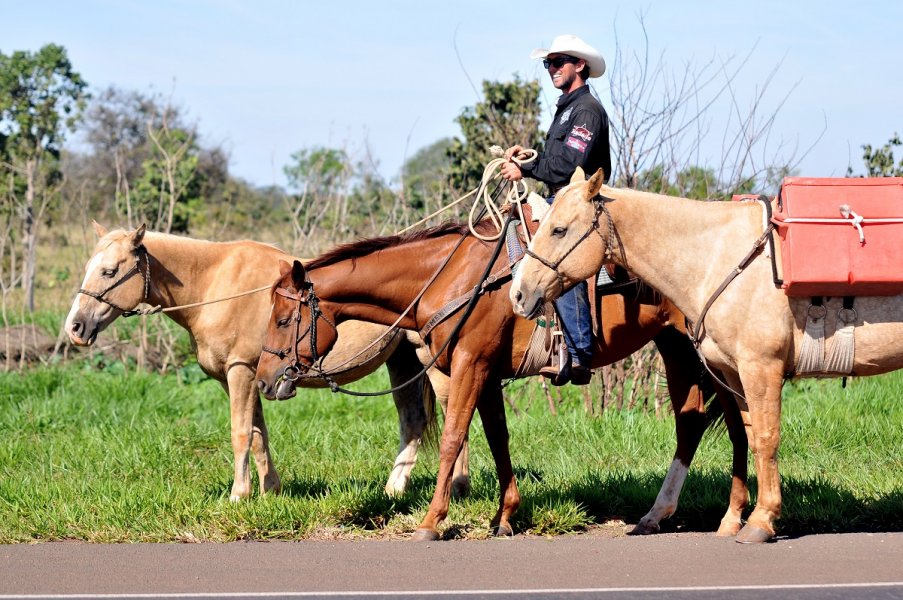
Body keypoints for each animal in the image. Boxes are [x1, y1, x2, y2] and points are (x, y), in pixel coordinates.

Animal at [64, 222, 449, 501]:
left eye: (109, 272)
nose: (75, 328)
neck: (215, 285)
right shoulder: (250, 377)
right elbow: (258, 433)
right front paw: (269, 491)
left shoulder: (241, 372)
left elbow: (240, 433)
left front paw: (239, 495)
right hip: (403, 361)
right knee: (413, 421)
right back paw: (394, 489)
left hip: (435, 361)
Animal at [255, 217, 750, 540]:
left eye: (282, 319)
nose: (263, 380)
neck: (454, 278)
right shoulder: (488, 374)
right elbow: (498, 439)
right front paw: (505, 516)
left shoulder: (470, 364)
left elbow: (454, 437)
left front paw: (432, 521)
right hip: (676, 346)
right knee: (692, 421)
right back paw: (657, 514)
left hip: (712, 355)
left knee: (735, 422)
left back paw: (735, 515)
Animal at [509, 167, 903, 543]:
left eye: (559, 229)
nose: (518, 293)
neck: (716, 258)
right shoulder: (733, 375)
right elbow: (748, 435)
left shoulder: (761, 369)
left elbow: (766, 438)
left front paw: (761, 521)